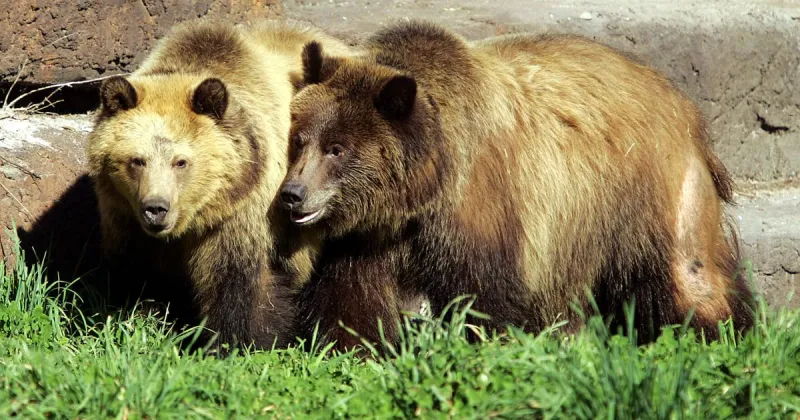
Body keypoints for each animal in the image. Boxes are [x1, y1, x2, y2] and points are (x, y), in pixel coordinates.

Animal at [86, 19, 353, 349]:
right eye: (137, 160)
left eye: (181, 162)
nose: (156, 208)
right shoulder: (125, 218)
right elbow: (134, 274)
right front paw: (135, 320)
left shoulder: (241, 213)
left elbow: (234, 283)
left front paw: (234, 342)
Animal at [278, 21, 755, 351]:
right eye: (299, 139)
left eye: (337, 149)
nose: (293, 194)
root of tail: (684, 104)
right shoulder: (368, 239)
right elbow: (350, 298)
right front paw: (348, 347)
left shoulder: (483, 206)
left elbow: (484, 295)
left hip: (649, 187)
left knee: (690, 273)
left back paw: (718, 334)